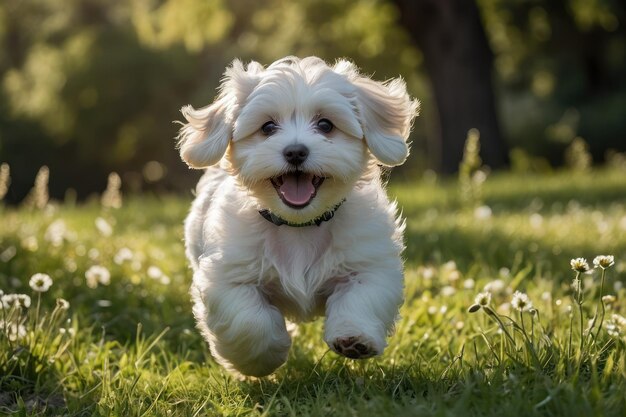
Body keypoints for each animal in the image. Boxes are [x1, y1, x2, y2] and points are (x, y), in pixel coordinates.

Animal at [178, 56, 416, 376]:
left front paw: (354, 337)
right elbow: (249, 321)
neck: (299, 226)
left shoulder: (369, 264)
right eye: (267, 127)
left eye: (325, 125)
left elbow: (362, 296)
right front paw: (265, 356)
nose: (295, 151)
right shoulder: (229, 277)